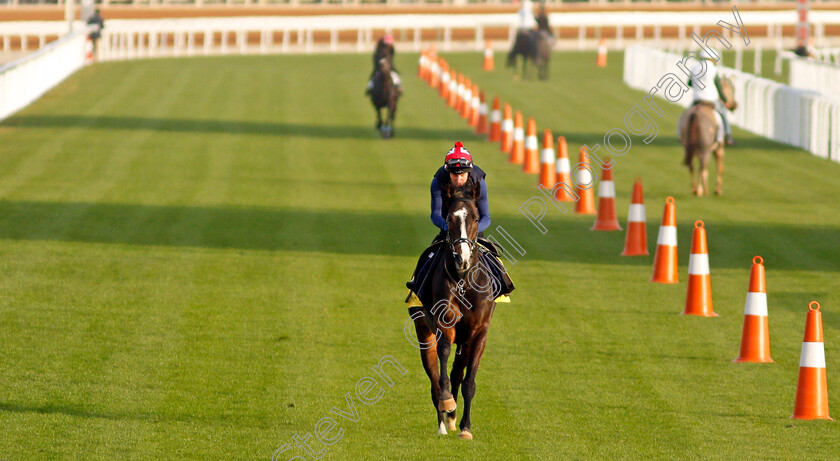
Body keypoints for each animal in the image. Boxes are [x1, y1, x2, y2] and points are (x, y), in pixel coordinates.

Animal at [410, 181, 502, 440]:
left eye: (475, 217)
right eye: (450, 218)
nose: (462, 258)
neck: (464, 281)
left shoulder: (478, 332)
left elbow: (468, 380)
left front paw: (465, 427)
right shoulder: (445, 325)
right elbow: (442, 365)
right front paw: (447, 403)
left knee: (457, 373)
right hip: (423, 329)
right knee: (434, 376)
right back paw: (443, 422)